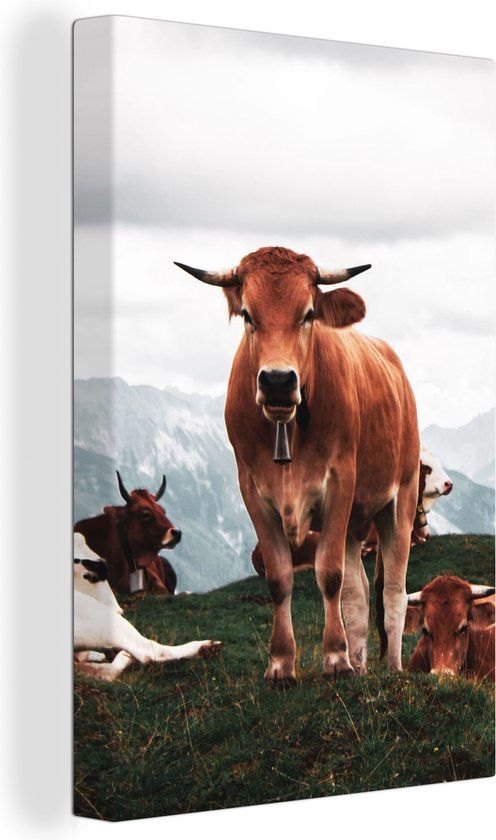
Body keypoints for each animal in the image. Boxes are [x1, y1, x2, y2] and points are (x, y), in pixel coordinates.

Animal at [174, 246, 419, 682]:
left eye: (307, 314)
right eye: (247, 314)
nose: (276, 381)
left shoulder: (340, 482)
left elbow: (329, 574)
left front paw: (335, 659)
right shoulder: (253, 491)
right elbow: (280, 577)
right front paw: (281, 663)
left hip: (400, 499)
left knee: (393, 590)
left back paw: (390, 667)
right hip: (355, 523)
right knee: (358, 593)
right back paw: (361, 663)